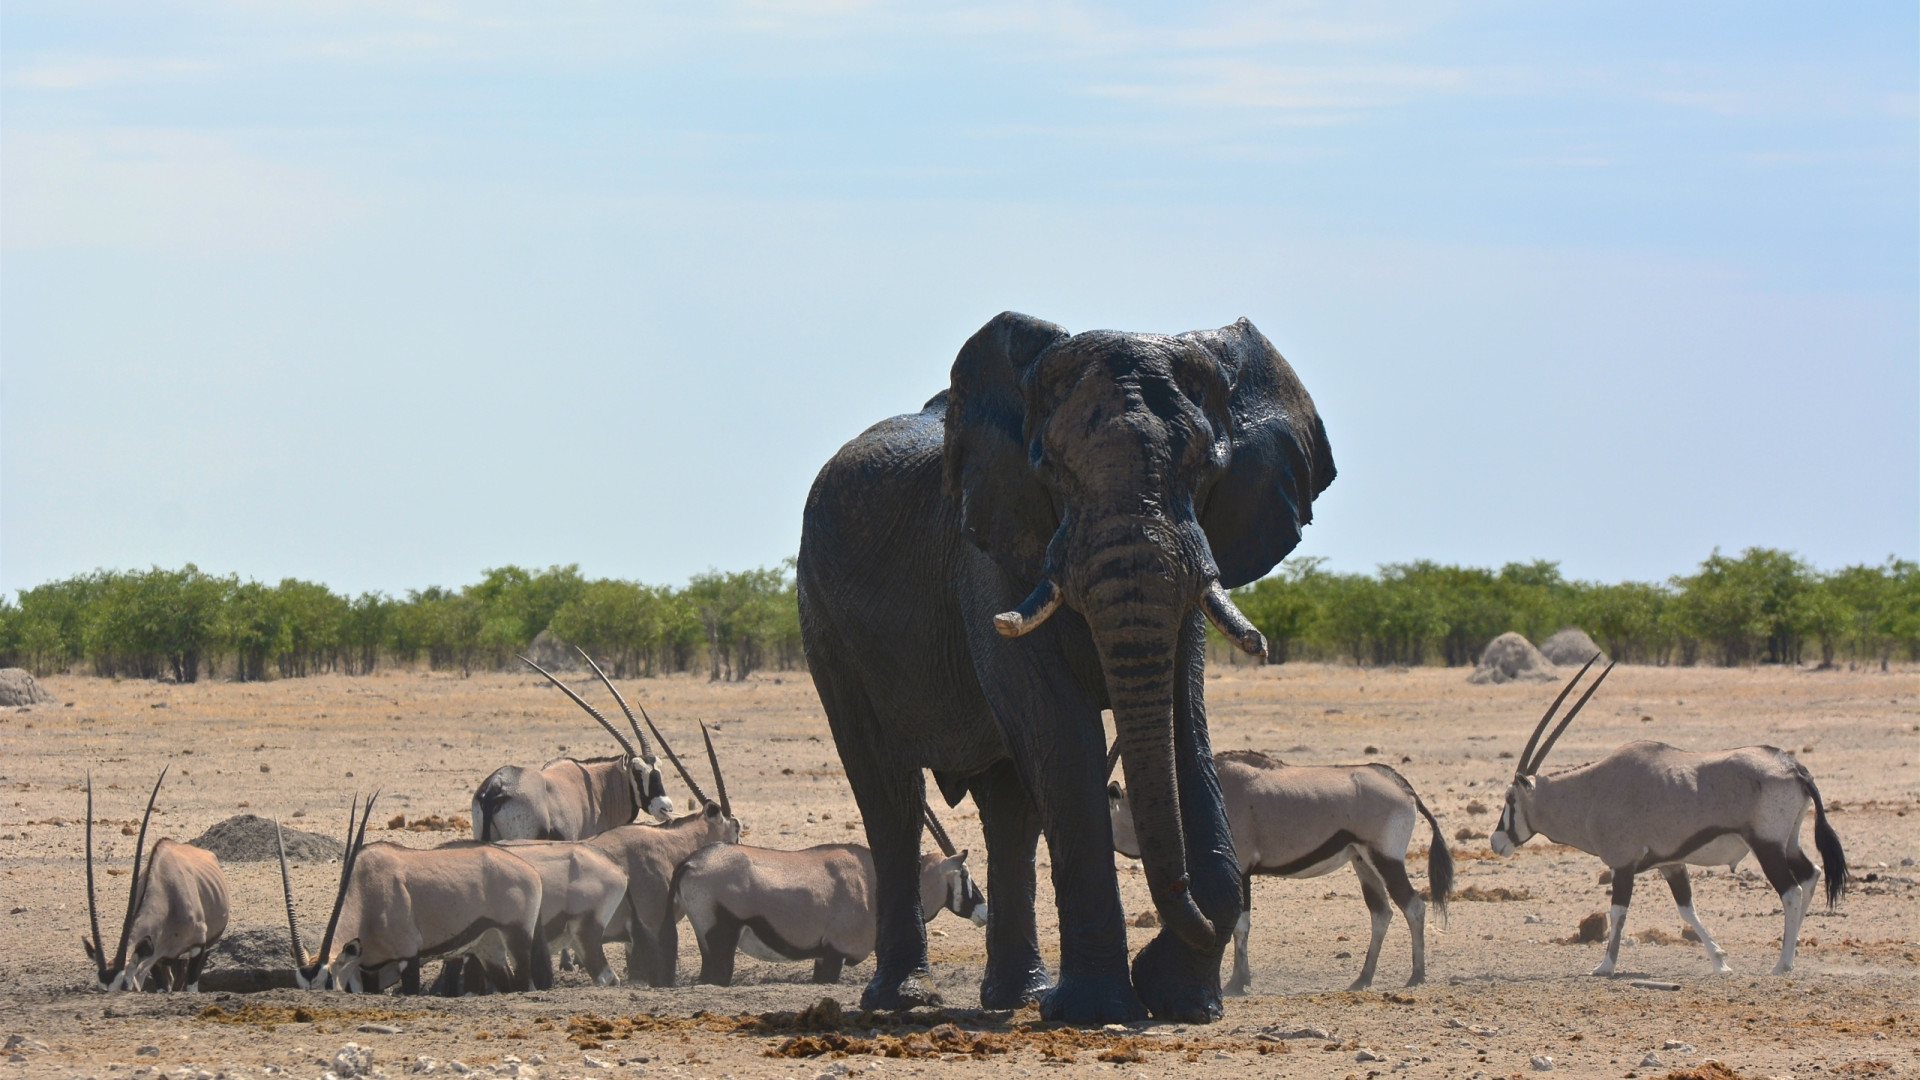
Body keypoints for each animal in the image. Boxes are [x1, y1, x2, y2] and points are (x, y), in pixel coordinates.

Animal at [794, 309, 1336, 1014]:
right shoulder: (987, 551)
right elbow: (1059, 724)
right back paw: (903, 1000)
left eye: (1206, 469)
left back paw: (1016, 997)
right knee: (890, 793)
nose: (1170, 936)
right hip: (824, 623)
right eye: (1050, 468)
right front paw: (1102, 1010)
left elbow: (1182, 724)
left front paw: (1181, 999)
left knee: (1010, 808)